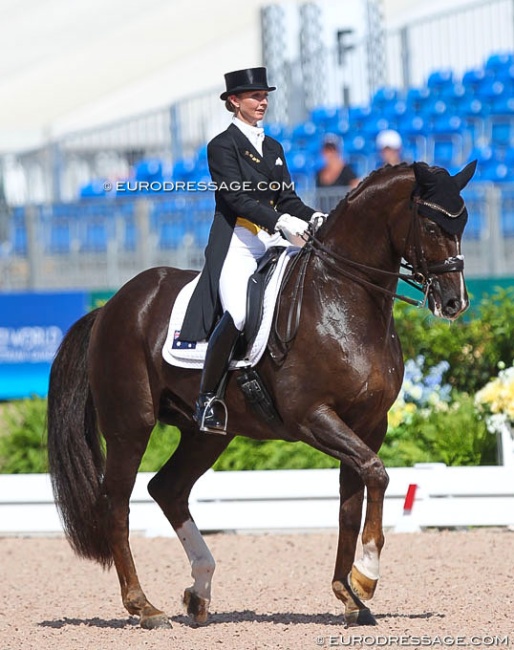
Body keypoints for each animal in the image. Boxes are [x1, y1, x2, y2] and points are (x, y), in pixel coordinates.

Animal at [48, 161, 476, 628]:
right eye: (432, 225)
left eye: (463, 224)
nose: (454, 303)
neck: (343, 297)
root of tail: (112, 306)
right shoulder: (312, 416)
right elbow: (377, 474)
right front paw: (366, 578)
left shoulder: (369, 424)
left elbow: (353, 500)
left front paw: (348, 596)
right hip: (130, 426)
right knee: (117, 504)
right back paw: (144, 606)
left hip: (206, 434)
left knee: (168, 489)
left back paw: (199, 592)